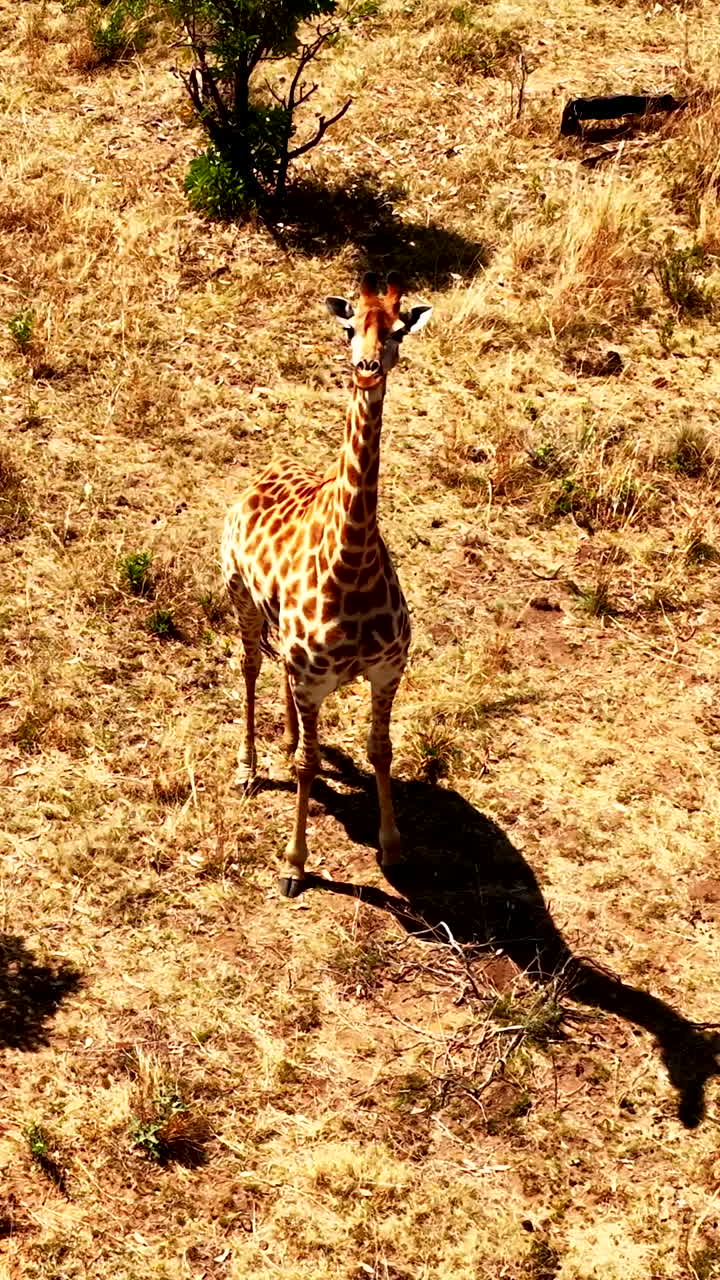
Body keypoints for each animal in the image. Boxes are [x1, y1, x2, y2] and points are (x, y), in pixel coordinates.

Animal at [220, 271, 432, 897]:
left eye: (398, 329)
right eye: (348, 325)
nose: (367, 367)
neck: (353, 564)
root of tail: (261, 476)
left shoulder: (387, 669)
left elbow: (380, 751)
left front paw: (393, 848)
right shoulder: (312, 677)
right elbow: (308, 767)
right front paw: (293, 866)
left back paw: (287, 737)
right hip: (239, 598)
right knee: (249, 667)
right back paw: (247, 768)